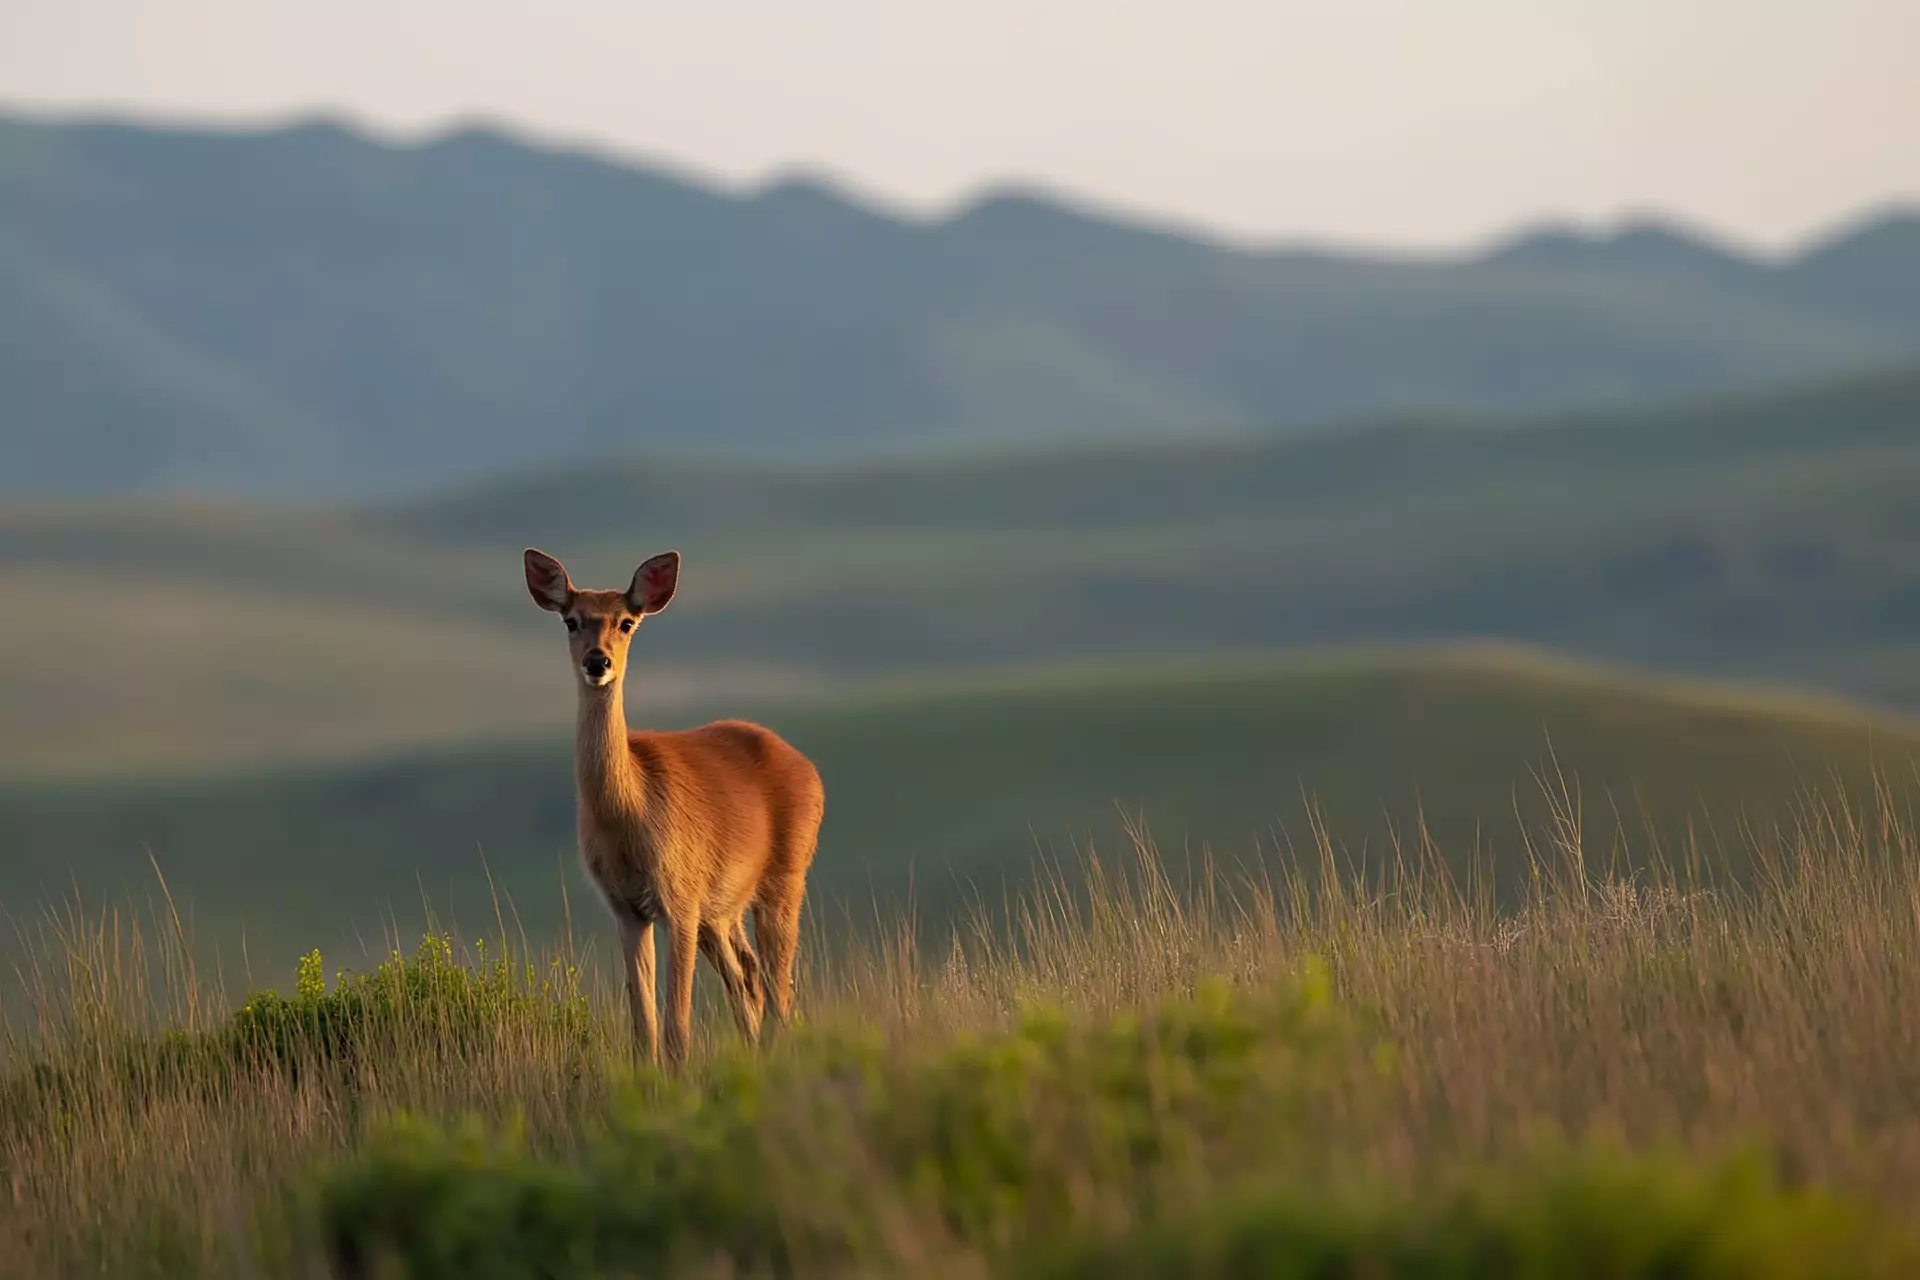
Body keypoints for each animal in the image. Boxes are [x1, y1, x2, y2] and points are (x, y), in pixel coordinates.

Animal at [523, 547, 824, 1067]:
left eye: (626, 622)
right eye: (571, 620)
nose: (598, 660)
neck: (628, 812)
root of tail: (810, 770)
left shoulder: (679, 902)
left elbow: (676, 1028)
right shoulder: (627, 909)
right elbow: (643, 1027)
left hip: (785, 878)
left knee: (778, 987)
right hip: (722, 911)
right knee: (748, 979)